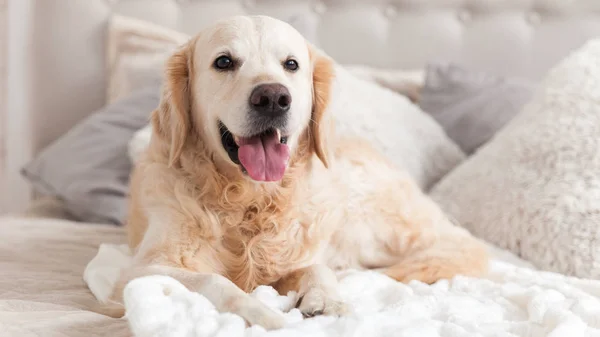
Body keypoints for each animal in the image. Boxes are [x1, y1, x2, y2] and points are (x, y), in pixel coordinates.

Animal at [108, 15, 490, 328]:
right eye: (224, 62)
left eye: (291, 64)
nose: (273, 97)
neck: (250, 200)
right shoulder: (140, 270)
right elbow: (217, 281)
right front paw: (262, 313)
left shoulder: (295, 259)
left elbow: (316, 268)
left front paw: (327, 300)